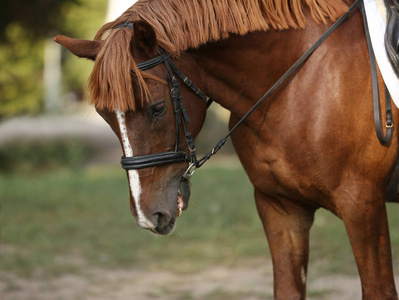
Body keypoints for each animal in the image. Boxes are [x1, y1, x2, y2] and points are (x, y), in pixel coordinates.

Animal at [55, 0, 399, 298]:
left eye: (157, 108)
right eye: (105, 116)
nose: (146, 215)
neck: (297, 84)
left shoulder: (361, 205)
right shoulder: (281, 207)